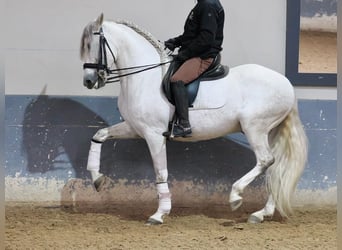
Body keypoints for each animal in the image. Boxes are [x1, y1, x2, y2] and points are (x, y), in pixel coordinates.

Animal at [79, 14, 308, 225]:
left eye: (93, 45)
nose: (89, 81)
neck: (143, 77)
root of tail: (287, 83)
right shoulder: (135, 129)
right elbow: (99, 135)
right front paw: (97, 179)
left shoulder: (154, 135)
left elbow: (161, 173)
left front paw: (159, 214)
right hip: (268, 131)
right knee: (276, 170)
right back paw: (261, 214)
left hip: (254, 128)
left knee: (265, 160)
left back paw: (236, 196)